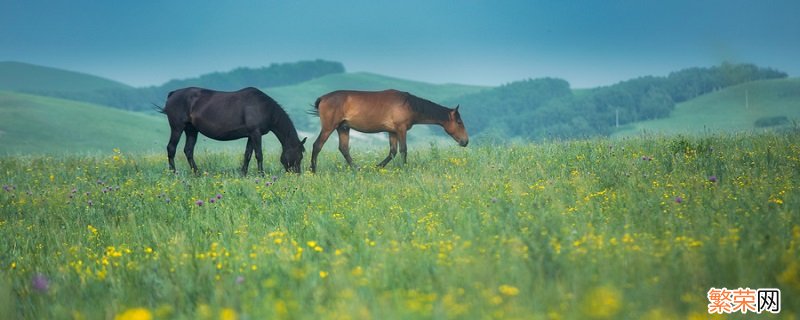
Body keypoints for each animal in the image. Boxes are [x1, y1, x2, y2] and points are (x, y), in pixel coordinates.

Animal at [159, 86, 306, 174]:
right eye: (300, 155)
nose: (297, 174)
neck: (264, 108)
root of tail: (172, 94)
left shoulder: (251, 135)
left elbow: (247, 155)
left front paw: (243, 174)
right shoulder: (256, 133)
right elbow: (259, 155)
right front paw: (261, 174)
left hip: (191, 130)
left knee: (188, 150)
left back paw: (197, 173)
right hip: (177, 128)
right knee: (171, 148)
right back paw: (173, 173)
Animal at [308, 89, 468, 171]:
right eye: (459, 122)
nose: (465, 141)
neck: (409, 104)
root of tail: (323, 98)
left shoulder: (392, 132)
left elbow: (392, 152)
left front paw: (378, 167)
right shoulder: (401, 129)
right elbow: (403, 150)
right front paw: (405, 168)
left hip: (343, 128)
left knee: (344, 149)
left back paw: (357, 168)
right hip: (329, 127)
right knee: (317, 146)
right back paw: (313, 170)